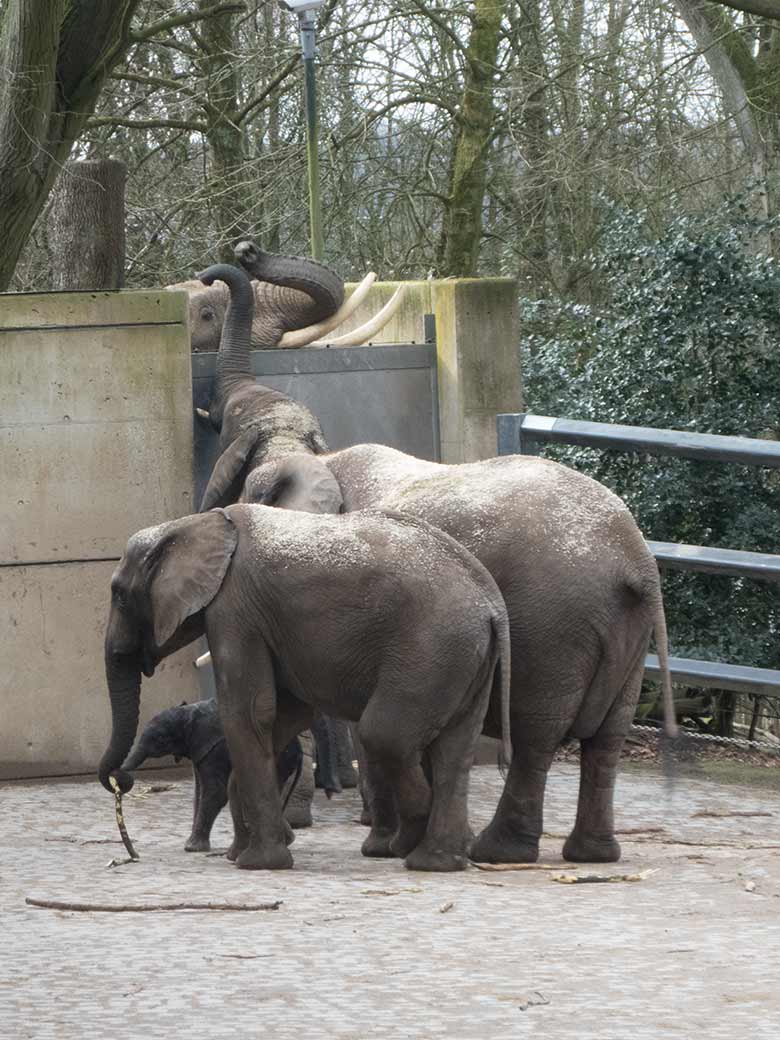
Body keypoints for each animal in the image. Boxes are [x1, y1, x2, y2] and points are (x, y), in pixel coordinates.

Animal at [122, 698, 305, 852]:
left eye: (159, 739)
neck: (188, 712)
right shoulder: (200, 750)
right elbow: (200, 791)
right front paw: (192, 845)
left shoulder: (216, 749)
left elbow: (216, 792)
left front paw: (191, 848)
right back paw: (287, 841)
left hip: (279, 759)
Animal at [192, 247, 682, 865]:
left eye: (228, 420)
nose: (237, 256)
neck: (307, 455)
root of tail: (636, 559)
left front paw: (358, 836)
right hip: (627, 629)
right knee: (606, 738)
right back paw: (588, 854)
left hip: (557, 622)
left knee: (536, 731)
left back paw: (498, 851)